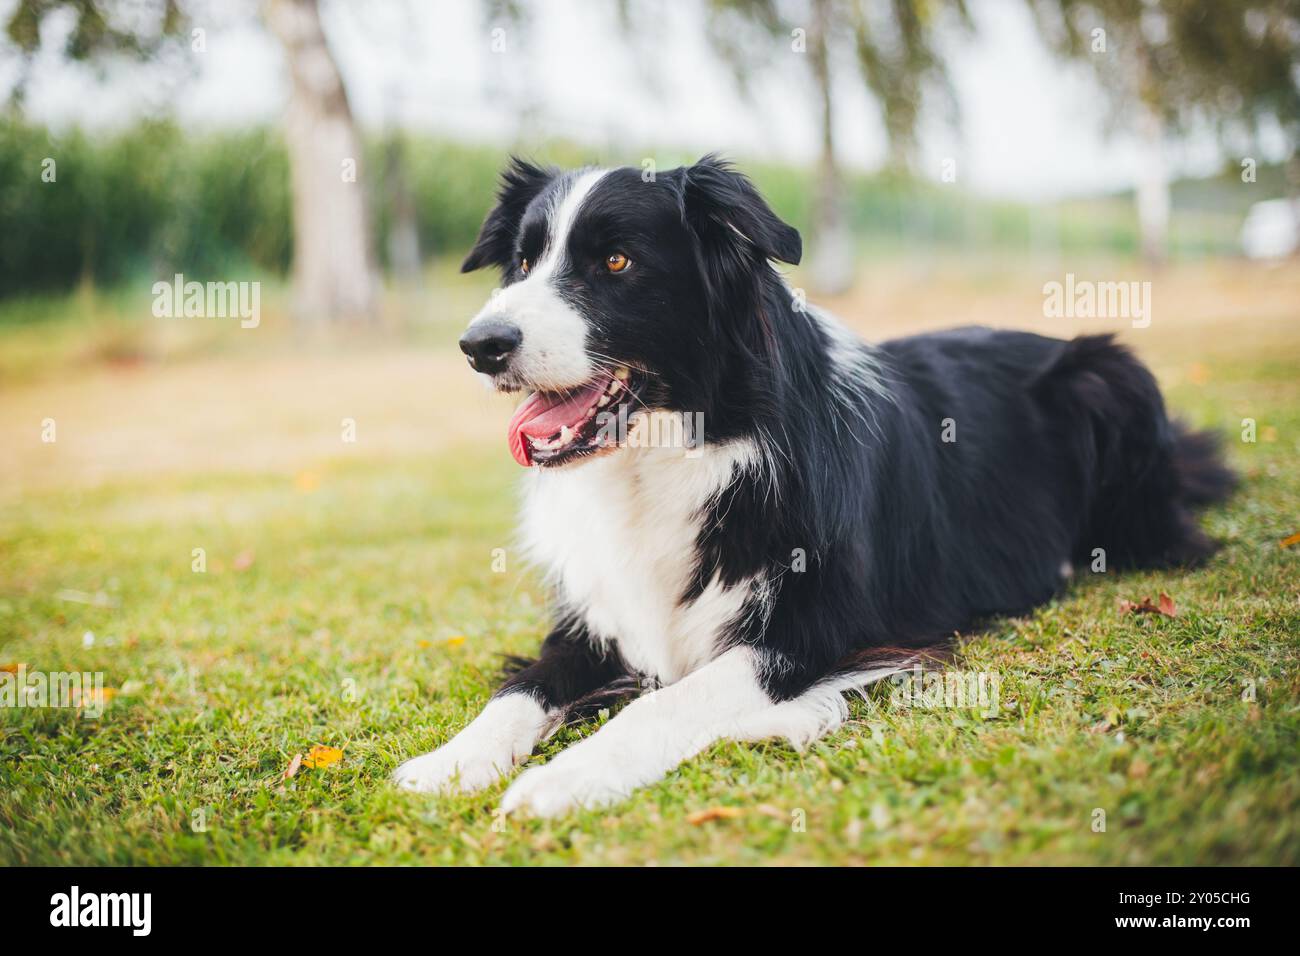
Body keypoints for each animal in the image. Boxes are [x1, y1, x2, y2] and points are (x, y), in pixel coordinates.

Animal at [390, 157, 1232, 816]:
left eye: (618, 263)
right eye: (522, 263)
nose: (479, 346)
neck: (677, 454)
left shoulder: (819, 625)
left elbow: (673, 698)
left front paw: (566, 779)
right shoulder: (595, 619)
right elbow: (520, 691)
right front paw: (447, 762)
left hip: (1114, 371)